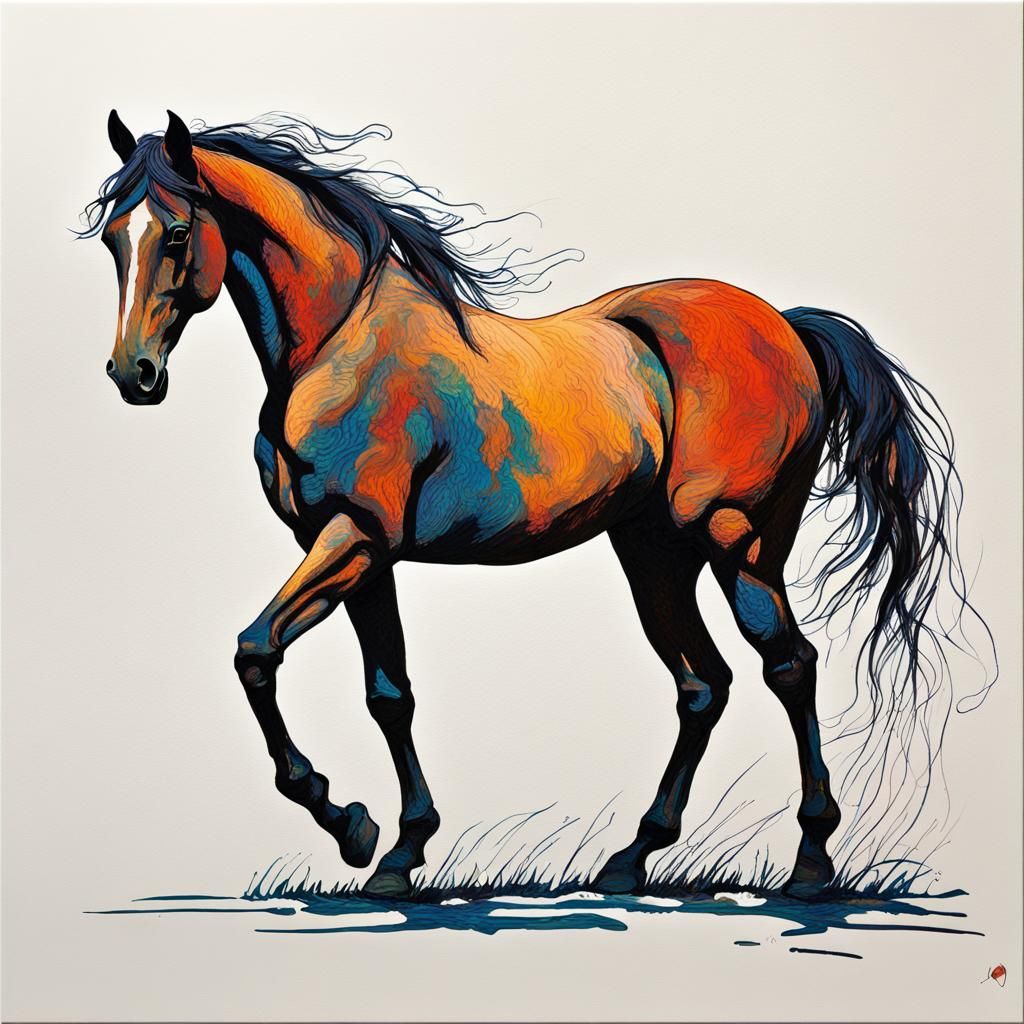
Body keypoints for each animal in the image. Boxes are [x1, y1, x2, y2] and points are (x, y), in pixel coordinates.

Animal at [86, 110, 965, 900]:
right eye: (112, 238)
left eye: (174, 235)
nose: (133, 374)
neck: (337, 342)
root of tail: (783, 324)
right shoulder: (361, 556)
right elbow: (388, 695)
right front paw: (398, 852)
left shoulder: (353, 539)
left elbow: (255, 653)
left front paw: (352, 826)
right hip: (653, 554)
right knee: (703, 684)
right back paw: (632, 859)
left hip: (734, 540)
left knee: (787, 665)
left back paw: (812, 864)